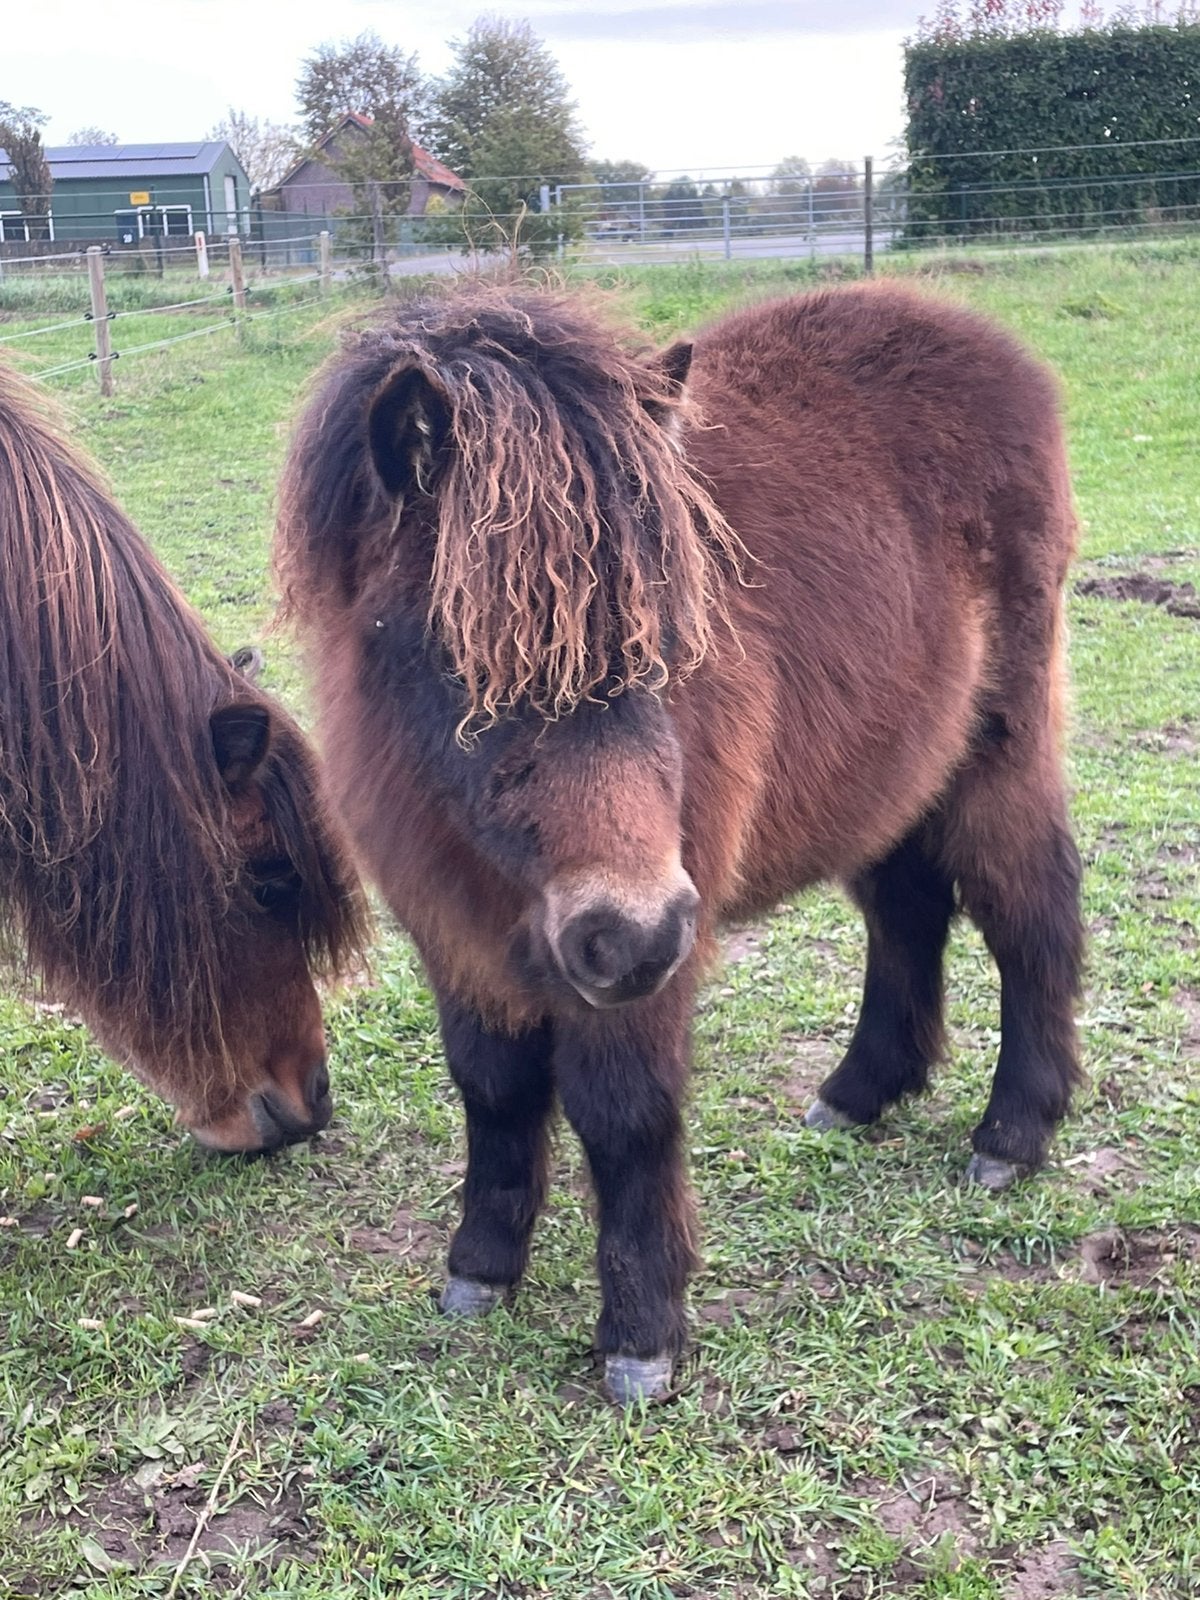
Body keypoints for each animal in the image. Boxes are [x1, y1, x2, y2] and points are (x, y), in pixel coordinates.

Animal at [275, 283, 1084, 1402]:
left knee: (1032, 914)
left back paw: (1013, 1135)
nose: (635, 933)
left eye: (668, 642)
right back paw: (860, 1091)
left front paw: (642, 1337)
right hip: (893, 774)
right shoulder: (458, 938)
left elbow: (624, 1116)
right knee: (909, 912)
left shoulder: (638, 964)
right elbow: (492, 1089)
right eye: (458, 659)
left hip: (995, 758)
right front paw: (480, 1269)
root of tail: (995, 349)